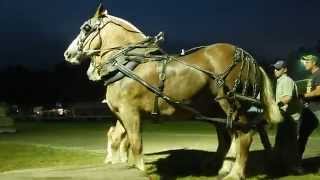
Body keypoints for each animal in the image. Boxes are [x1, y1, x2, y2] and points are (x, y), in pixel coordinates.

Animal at [63, 4, 282, 179]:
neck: (128, 64)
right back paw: (221, 167)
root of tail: (248, 56)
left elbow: (135, 143)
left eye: (86, 28)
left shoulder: (130, 112)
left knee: (244, 135)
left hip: (231, 104)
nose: (68, 54)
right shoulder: (120, 114)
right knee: (227, 136)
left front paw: (138, 169)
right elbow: (118, 138)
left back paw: (235, 173)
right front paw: (118, 164)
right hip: (216, 109)